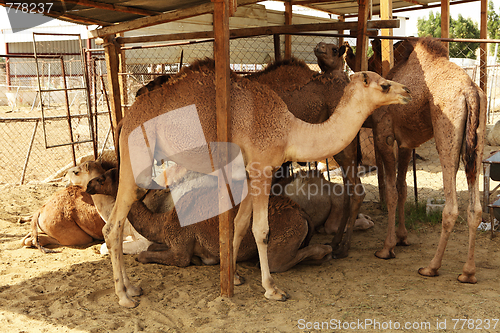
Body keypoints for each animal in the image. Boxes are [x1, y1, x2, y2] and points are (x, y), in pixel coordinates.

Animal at [85, 167, 332, 272]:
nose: (88, 185)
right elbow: (152, 248)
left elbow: (146, 255)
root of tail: (301, 212)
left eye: (103, 177)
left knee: (279, 262)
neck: (163, 221)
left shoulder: (180, 249)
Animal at [318, 37, 486, 282]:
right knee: (475, 208)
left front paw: (387, 248)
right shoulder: (407, 142)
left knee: (451, 207)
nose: (318, 47)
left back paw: (431, 267)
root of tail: (470, 91)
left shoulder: (384, 135)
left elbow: (391, 192)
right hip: (477, 142)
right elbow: (403, 187)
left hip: (447, 133)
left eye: (332, 50)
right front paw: (402, 237)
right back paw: (468, 272)